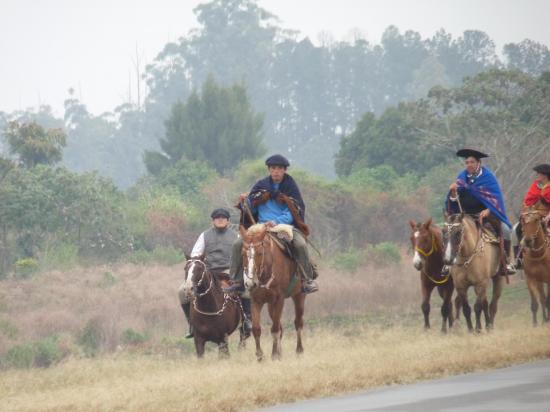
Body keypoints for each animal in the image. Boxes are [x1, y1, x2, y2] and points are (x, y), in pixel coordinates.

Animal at [240, 224, 308, 362]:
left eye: (260, 253)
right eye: (243, 253)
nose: (250, 283)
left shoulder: (279, 299)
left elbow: (275, 329)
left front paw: (274, 355)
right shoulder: (256, 300)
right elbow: (256, 328)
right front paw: (260, 355)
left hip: (299, 295)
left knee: (298, 322)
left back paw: (299, 350)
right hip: (271, 304)